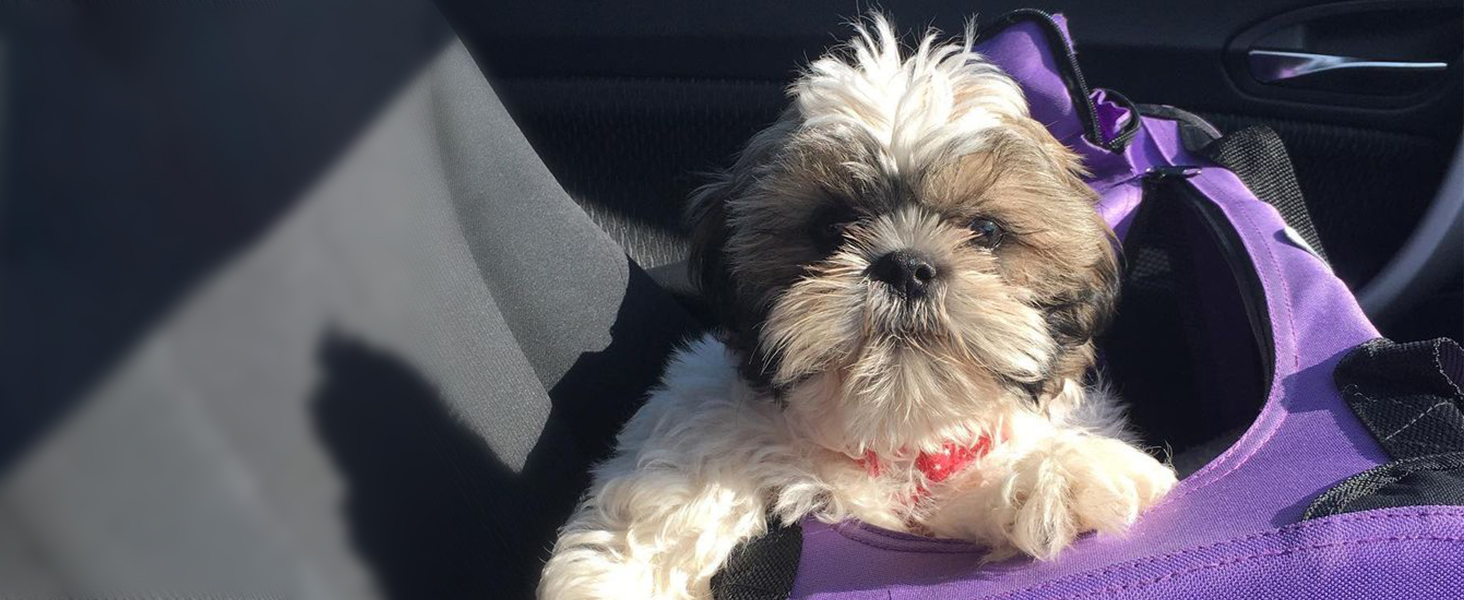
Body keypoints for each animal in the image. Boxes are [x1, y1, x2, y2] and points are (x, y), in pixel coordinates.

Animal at [541, 15, 1177, 600]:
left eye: (987, 231)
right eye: (829, 227)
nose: (906, 266)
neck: (889, 433)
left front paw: (1060, 472)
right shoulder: (708, 410)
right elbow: (682, 482)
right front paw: (623, 574)